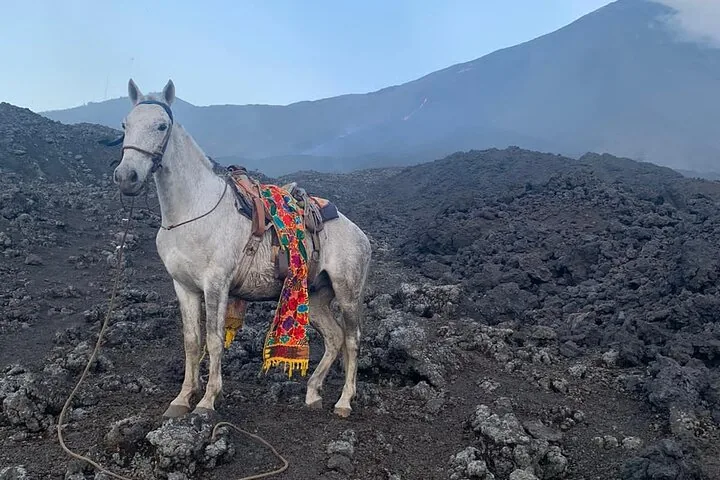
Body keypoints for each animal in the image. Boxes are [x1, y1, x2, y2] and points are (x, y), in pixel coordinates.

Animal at [112, 79, 372, 418]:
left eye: (161, 125)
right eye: (125, 124)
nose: (126, 177)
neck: (192, 211)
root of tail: (360, 235)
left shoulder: (216, 285)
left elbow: (213, 341)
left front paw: (207, 401)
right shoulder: (184, 286)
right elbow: (192, 342)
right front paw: (182, 398)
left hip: (347, 292)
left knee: (352, 339)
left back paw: (343, 401)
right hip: (315, 296)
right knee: (334, 337)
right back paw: (313, 392)